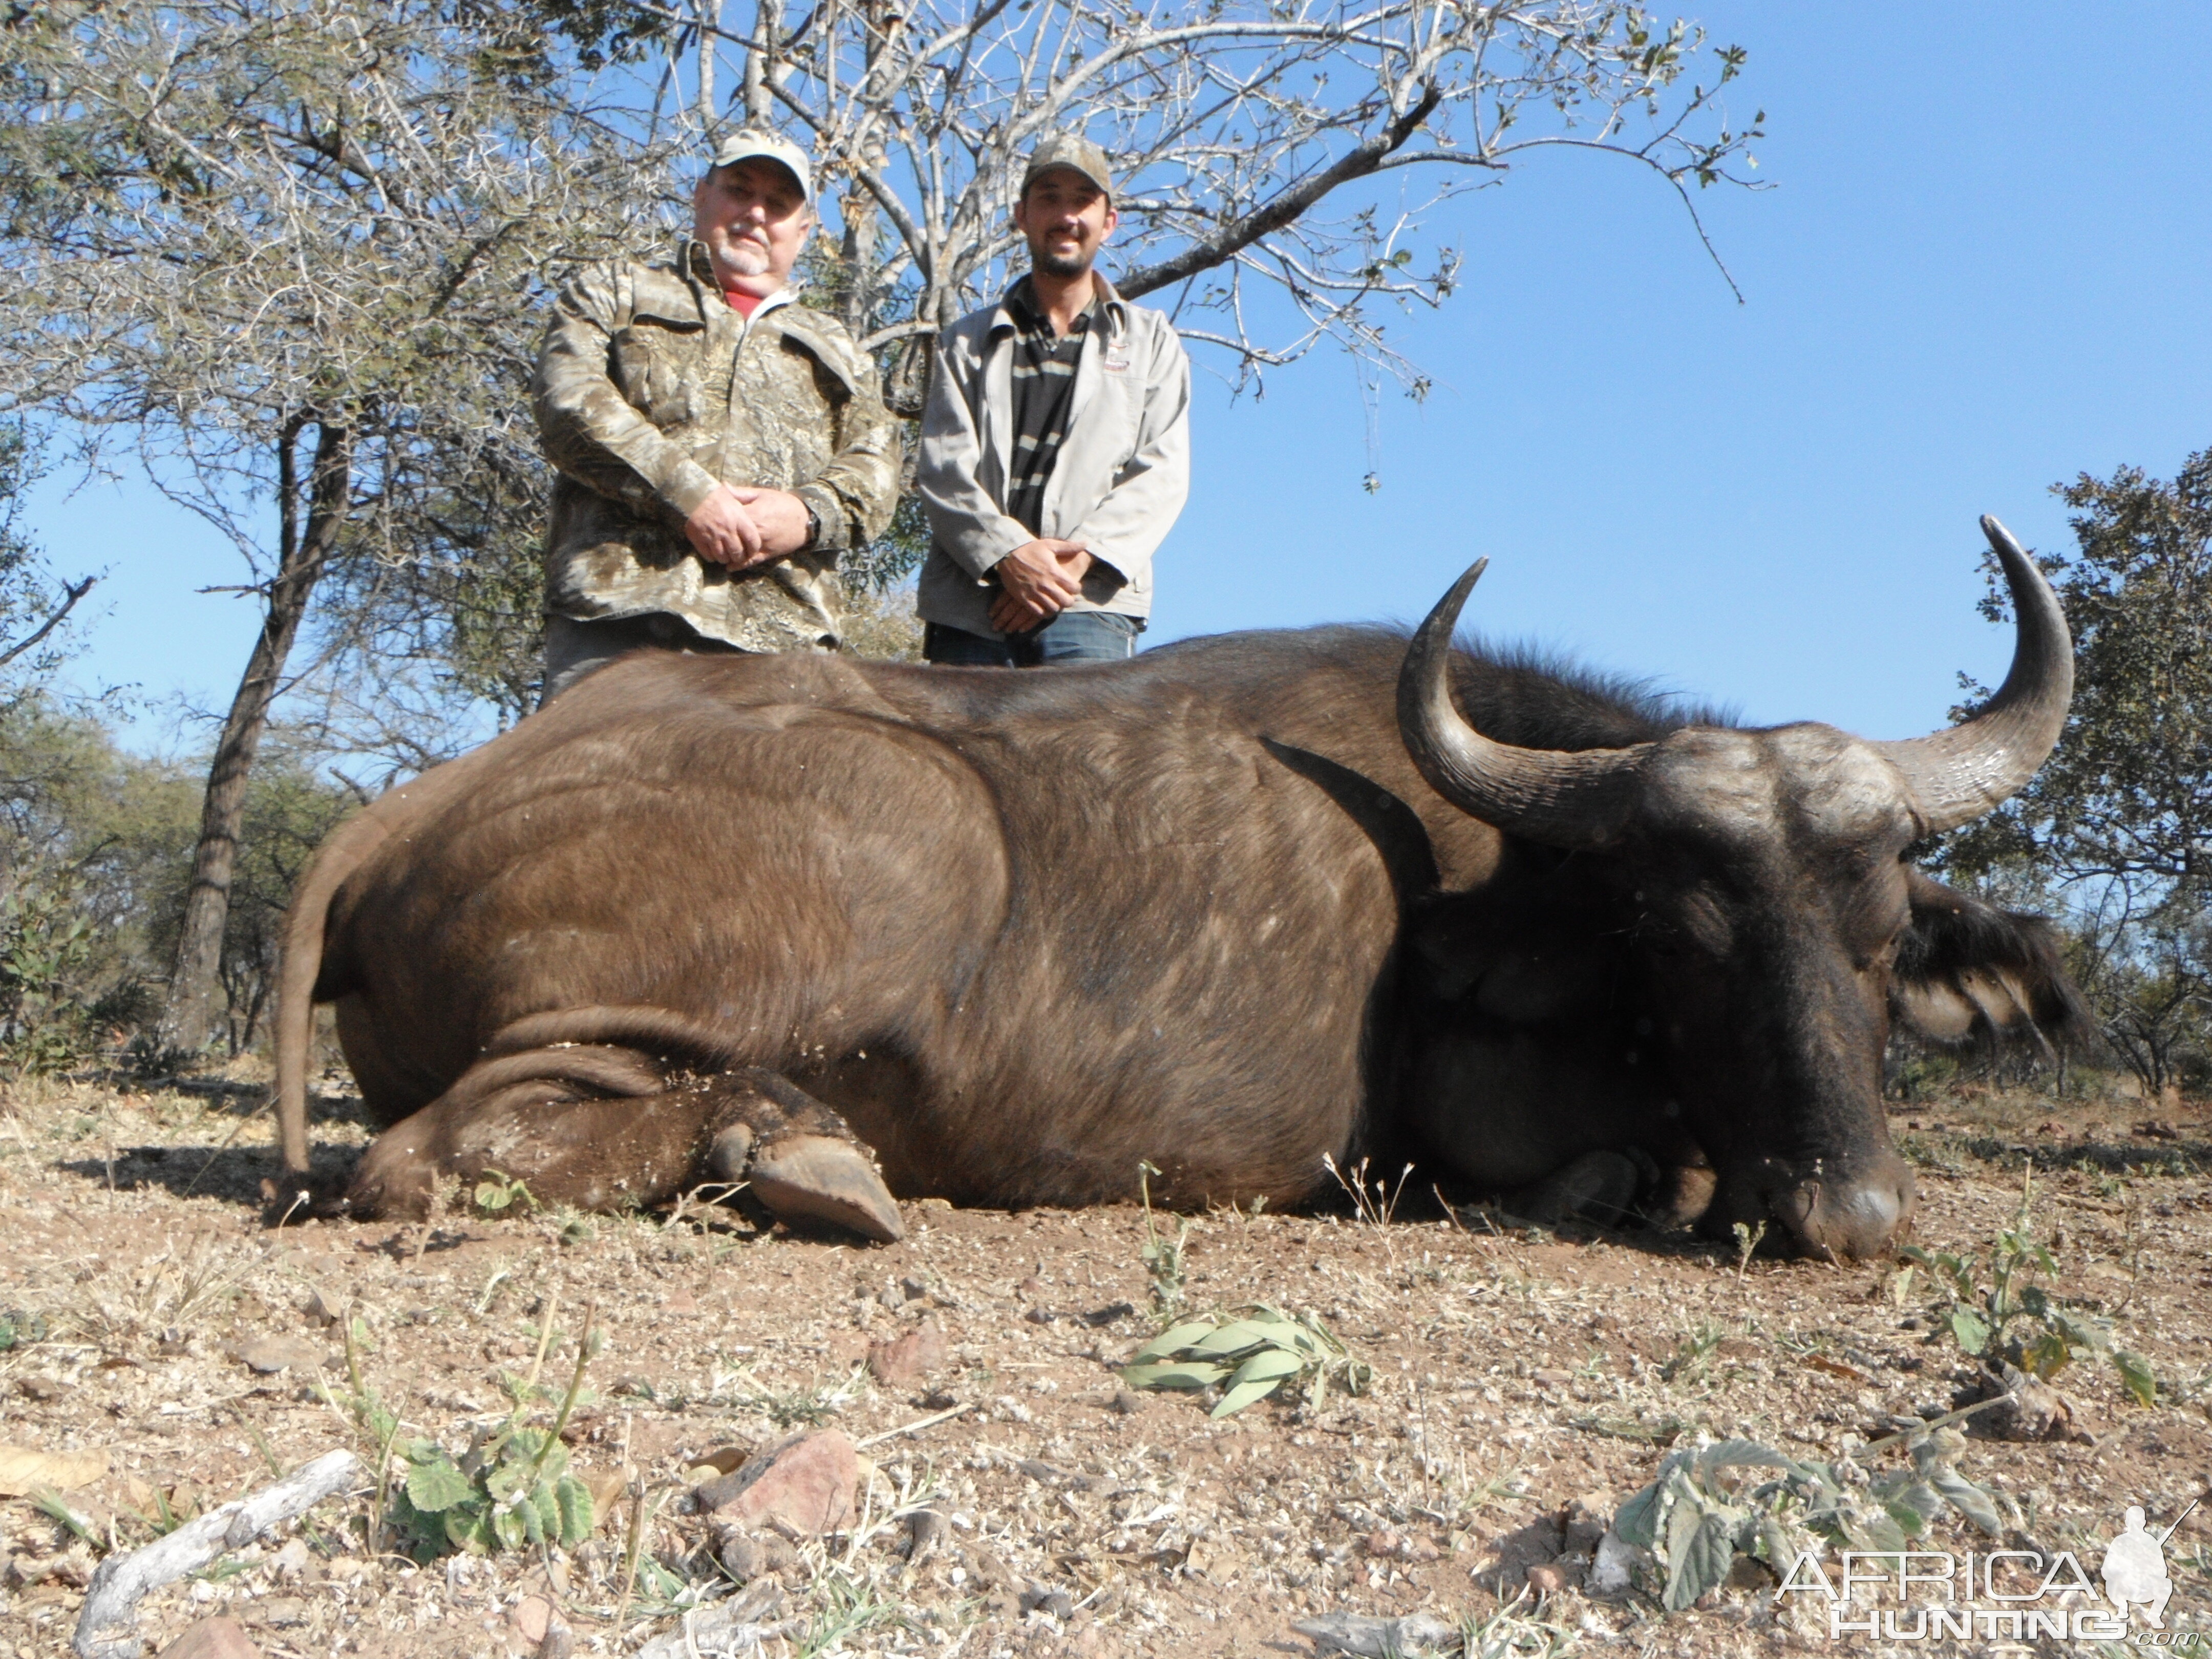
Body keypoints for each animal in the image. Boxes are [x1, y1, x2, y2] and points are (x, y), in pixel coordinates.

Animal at [267, 520, 2079, 1256]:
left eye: (1882, 943)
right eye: (1685, 939)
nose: (1845, 1215)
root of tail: (424, 799)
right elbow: (1611, 1162)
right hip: (895, 858)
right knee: (429, 1158)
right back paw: (798, 1155)